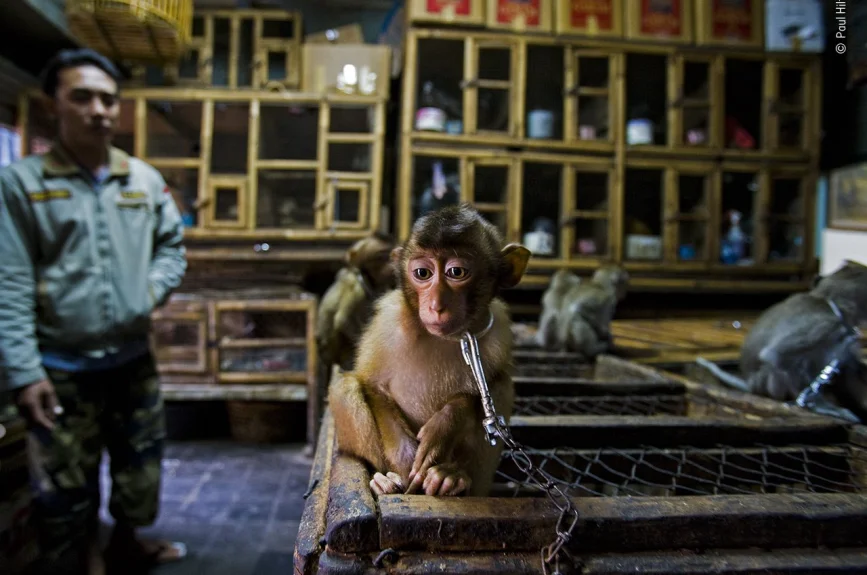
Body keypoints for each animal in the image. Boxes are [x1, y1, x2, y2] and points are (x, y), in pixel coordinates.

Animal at [328, 204, 531, 497]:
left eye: (456, 272)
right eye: (422, 274)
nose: (436, 306)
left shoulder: (497, 331)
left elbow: (483, 389)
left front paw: (444, 426)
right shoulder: (386, 322)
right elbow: (372, 385)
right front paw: (404, 459)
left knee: (502, 387)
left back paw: (452, 478)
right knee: (345, 386)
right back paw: (383, 479)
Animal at [696, 259, 867, 423]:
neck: (829, 302)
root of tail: (752, 385)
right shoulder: (825, 325)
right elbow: (776, 355)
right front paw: (821, 406)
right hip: (769, 384)